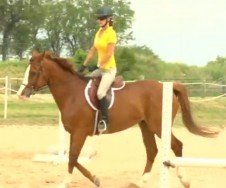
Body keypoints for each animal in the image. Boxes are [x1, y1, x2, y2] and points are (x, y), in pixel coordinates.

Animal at [18, 50, 219, 187]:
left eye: (34, 72)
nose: (21, 94)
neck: (71, 93)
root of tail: (167, 86)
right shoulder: (77, 134)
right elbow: (73, 158)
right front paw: (95, 179)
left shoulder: (79, 133)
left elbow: (73, 157)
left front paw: (65, 182)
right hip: (145, 125)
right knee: (152, 150)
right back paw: (140, 182)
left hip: (158, 125)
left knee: (176, 145)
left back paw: (184, 180)